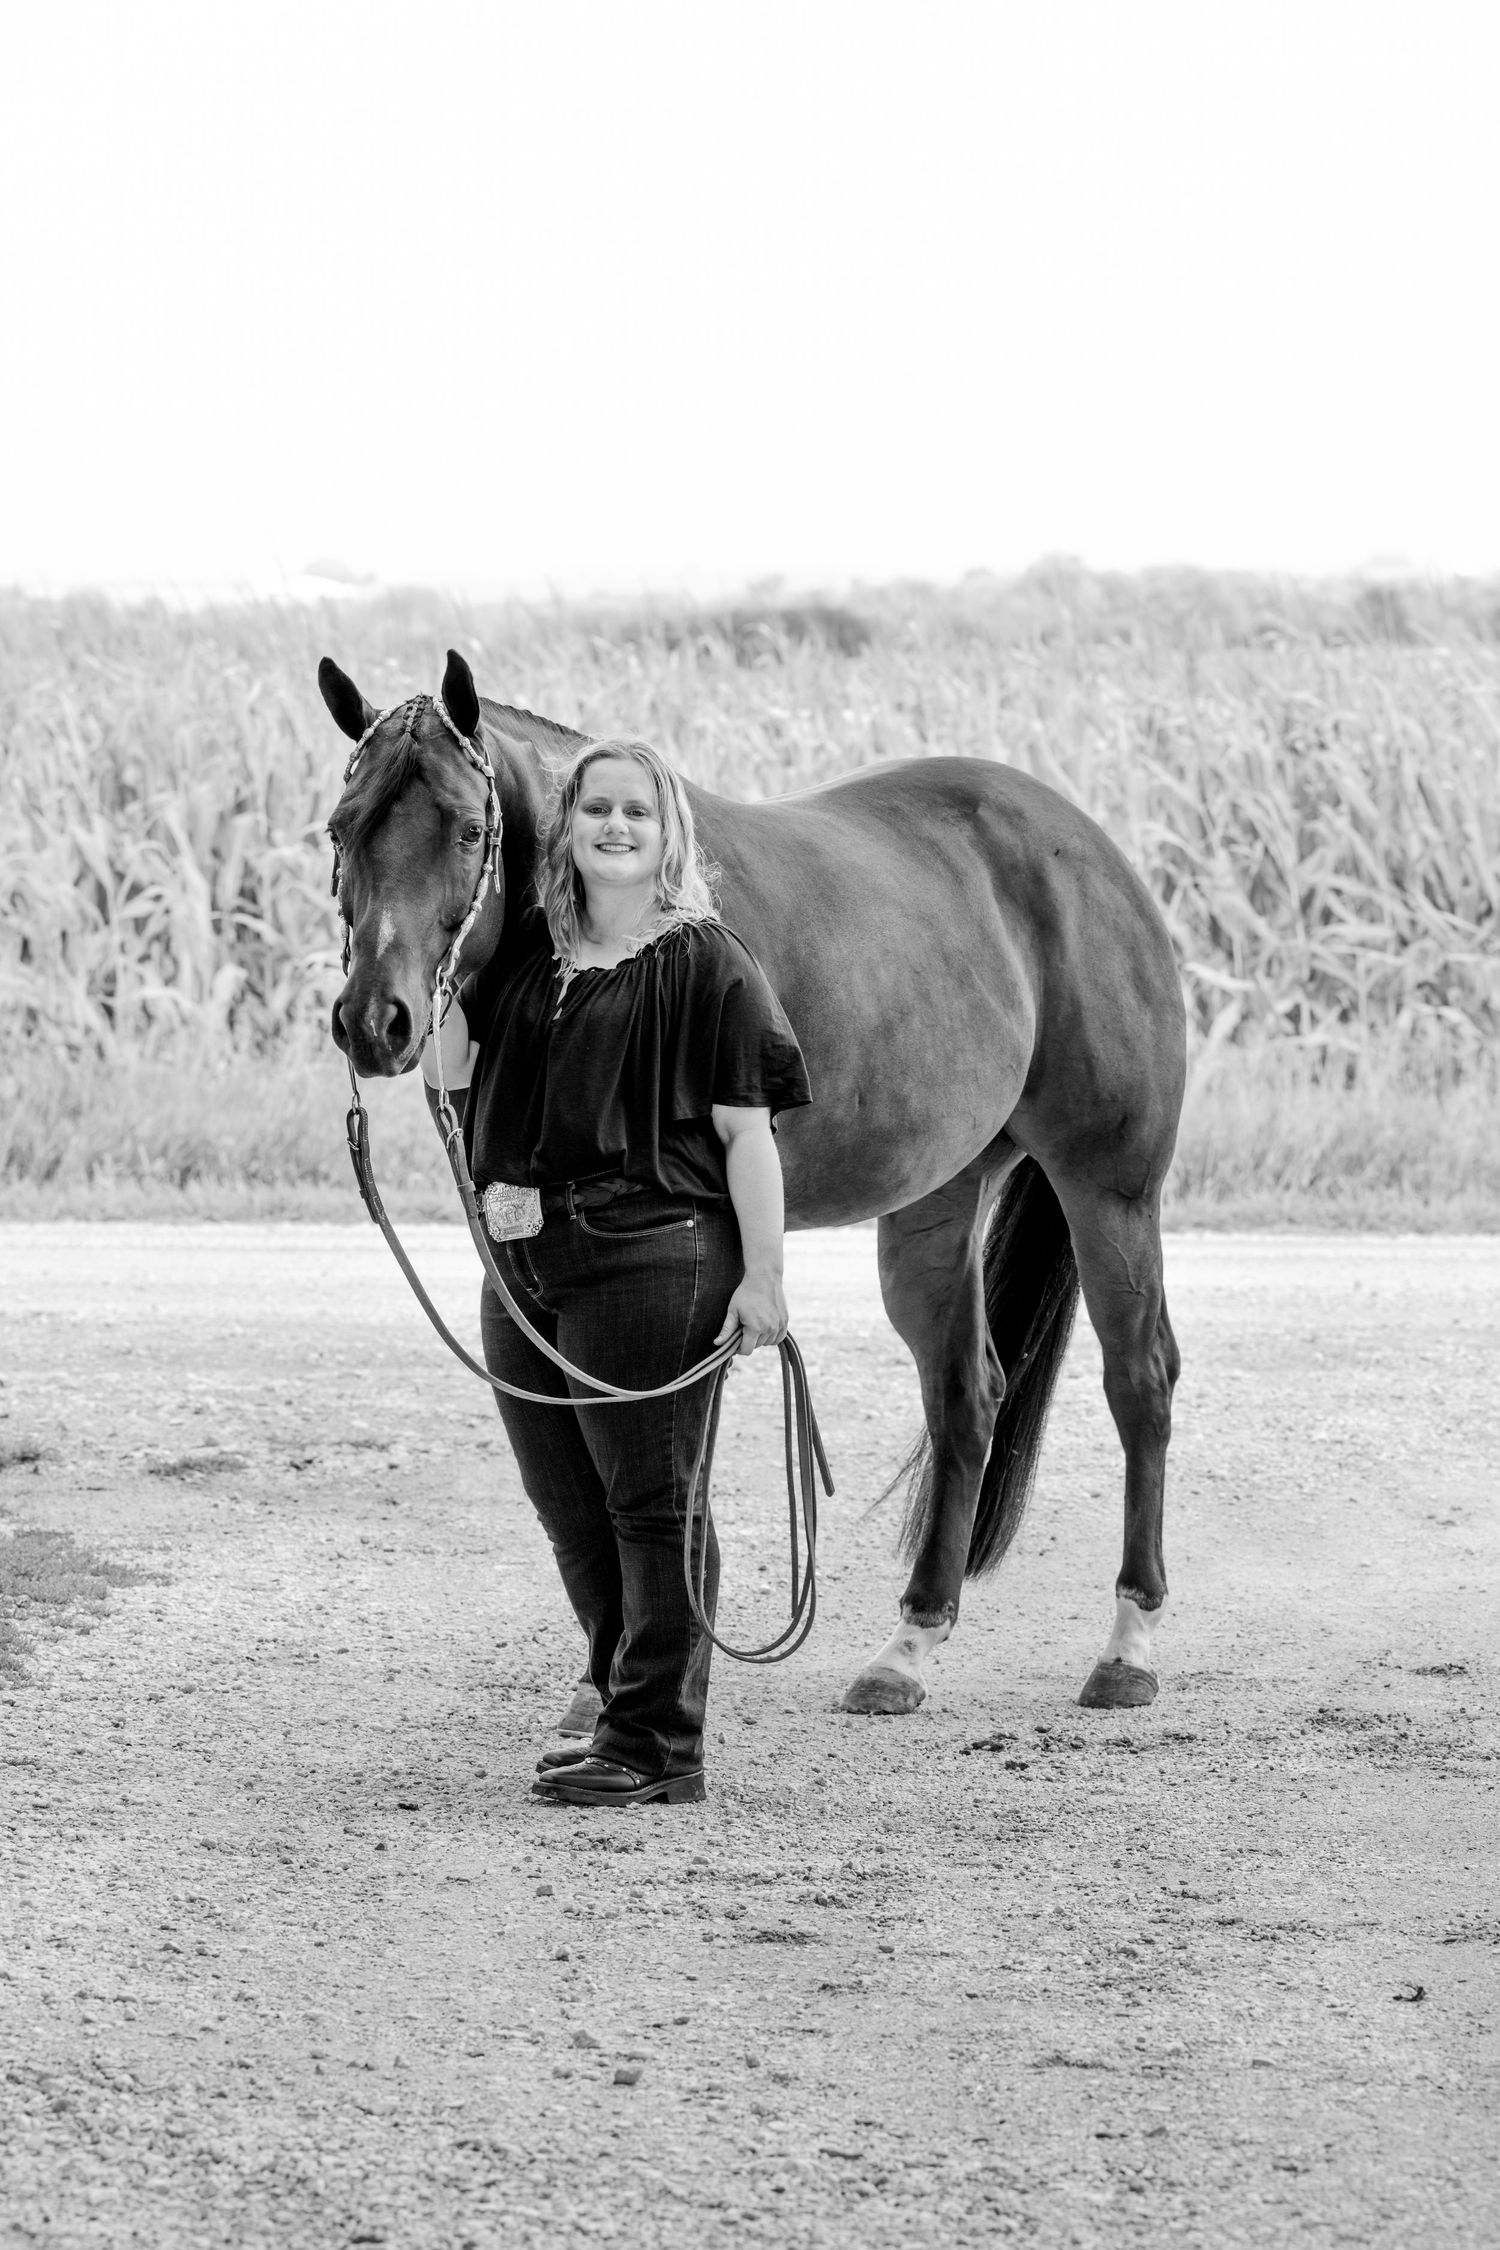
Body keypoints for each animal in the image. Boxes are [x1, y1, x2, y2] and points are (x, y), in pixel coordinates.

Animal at [320, 648, 1185, 1718]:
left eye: (470, 830)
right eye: (341, 829)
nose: (375, 1021)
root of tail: (1095, 851)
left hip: (1111, 1192)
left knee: (1139, 1381)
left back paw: (1127, 1645)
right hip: (936, 1200)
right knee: (966, 1396)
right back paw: (909, 1646)